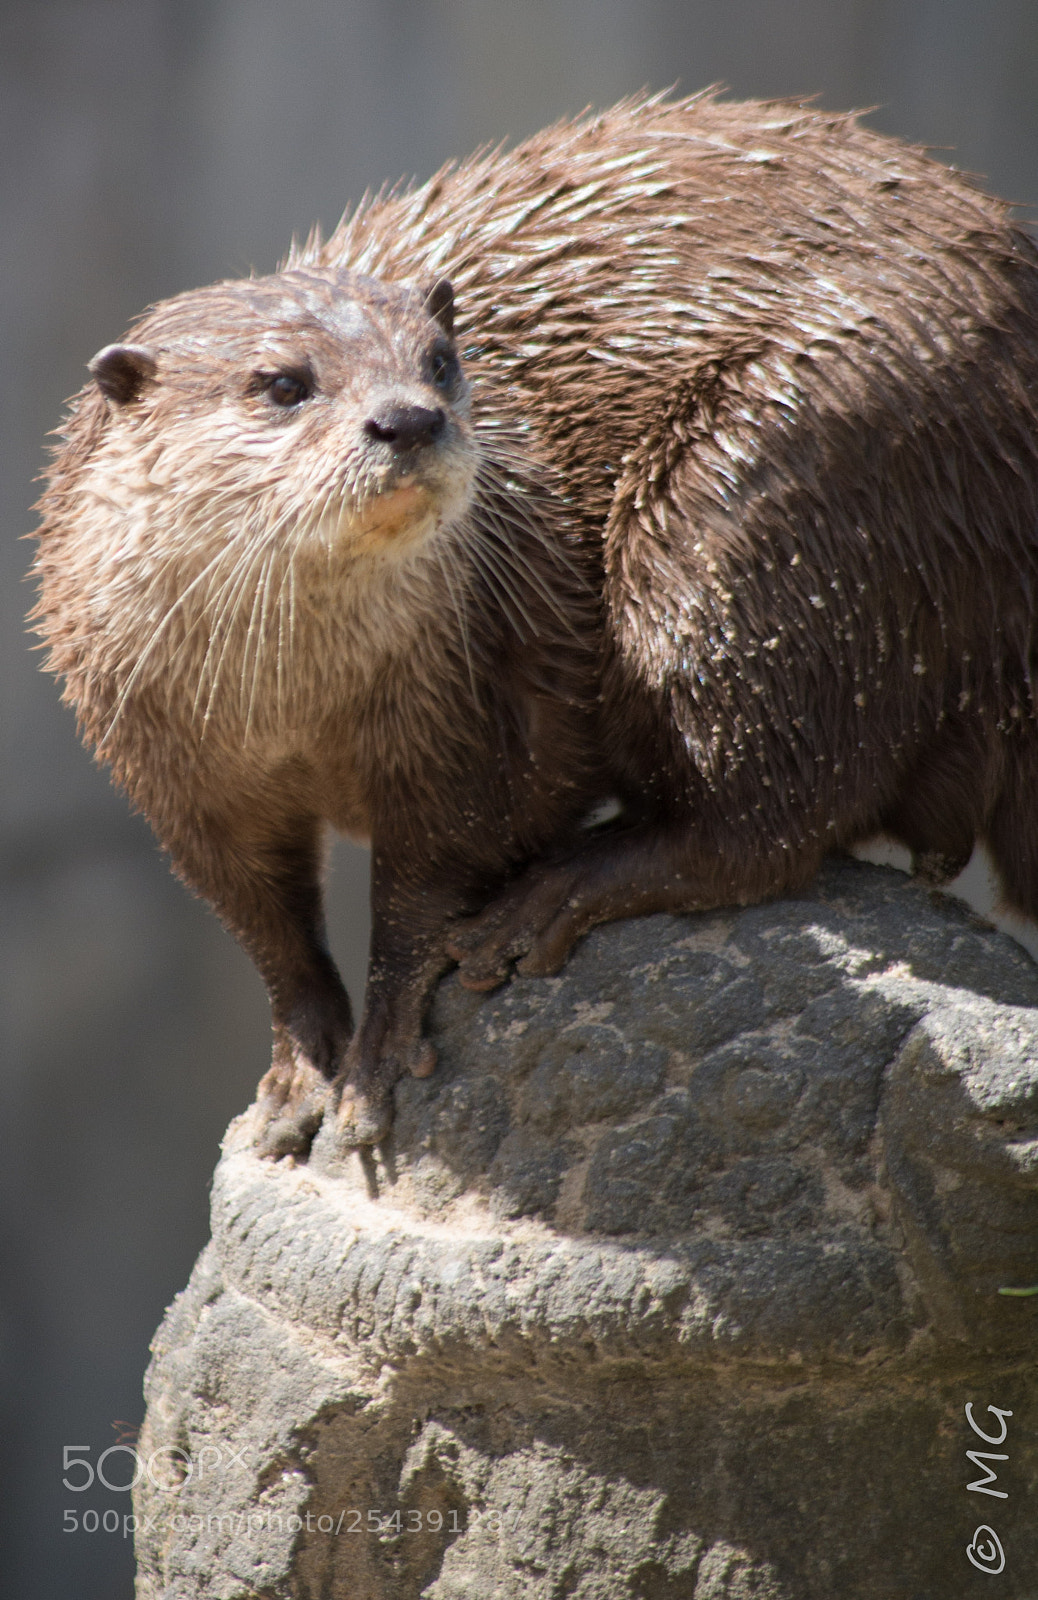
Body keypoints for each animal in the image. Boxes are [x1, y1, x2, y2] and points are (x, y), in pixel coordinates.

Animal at [33, 92, 1038, 1154]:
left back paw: (558, 894)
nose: (408, 419)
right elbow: (263, 922)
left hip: (770, 481)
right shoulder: (175, 776)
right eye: (282, 384)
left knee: (767, 804)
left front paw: (377, 1054)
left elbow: (436, 871)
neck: (292, 704)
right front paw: (299, 1070)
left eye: (441, 363)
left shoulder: (482, 708)